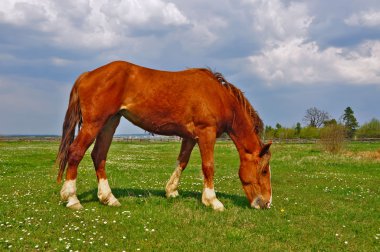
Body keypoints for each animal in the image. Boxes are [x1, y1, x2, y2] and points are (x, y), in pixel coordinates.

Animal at [55, 60, 270, 211]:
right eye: (265, 171)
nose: (267, 203)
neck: (218, 96)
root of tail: (87, 75)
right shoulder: (206, 133)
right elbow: (208, 166)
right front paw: (213, 201)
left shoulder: (190, 137)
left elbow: (182, 161)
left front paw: (171, 190)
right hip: (94, 124)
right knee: (76, 152)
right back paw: (72, 198)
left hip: (110, 123)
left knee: (98, 155)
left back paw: (109, 198)